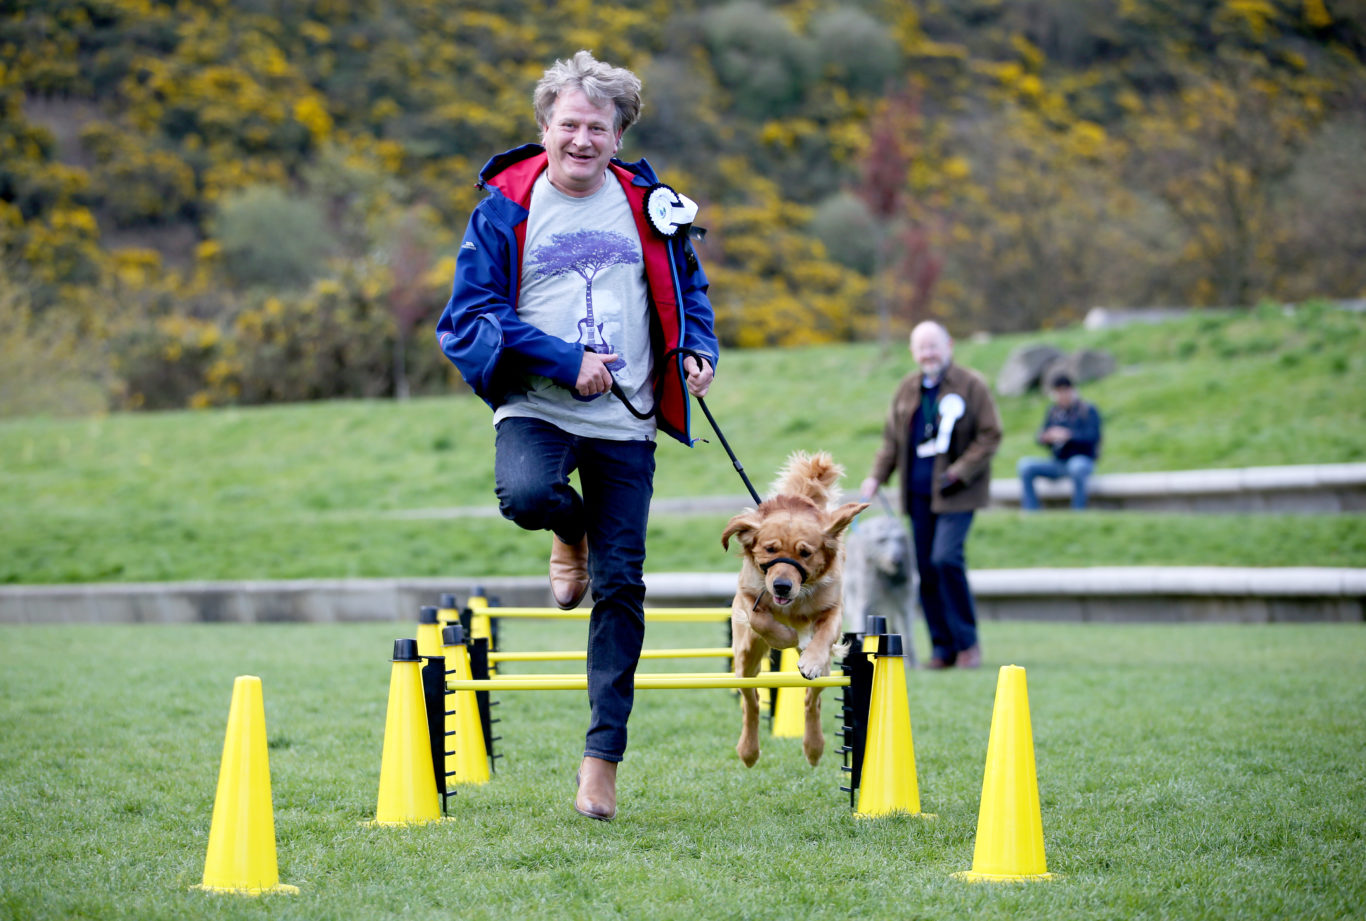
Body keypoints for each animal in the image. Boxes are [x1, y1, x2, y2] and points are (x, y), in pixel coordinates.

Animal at [721, 448, 868, 765]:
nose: (781, 586)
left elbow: (822, 636)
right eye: (770, 549)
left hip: (822, 676)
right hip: (745, 658)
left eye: (805, 553)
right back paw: (748, 750)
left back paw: (814, 746)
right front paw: (787, 635)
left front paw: (809, 656)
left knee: (812, 701)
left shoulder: (833, 608)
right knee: (751, 702)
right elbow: (762, 620)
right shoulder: (749, 596)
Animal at [841, 508, 917, 661]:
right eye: (882, 540)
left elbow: (906, 623)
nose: (897, 560)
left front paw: (912, 661)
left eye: (899, 539)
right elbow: (861, 613)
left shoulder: (904, 598)